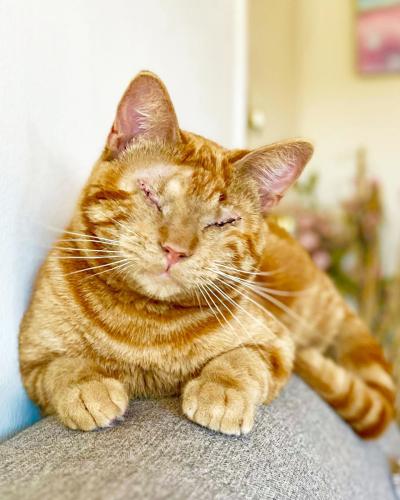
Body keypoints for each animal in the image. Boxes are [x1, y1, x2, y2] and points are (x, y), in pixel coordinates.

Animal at [18, 69, 394, 438]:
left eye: (222, 222)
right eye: (151, 194)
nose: (175, 250)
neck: (145, 327)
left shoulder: (276, 344)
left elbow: (241, 360)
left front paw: (222, 392)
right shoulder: (31, 357)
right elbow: (61, 366)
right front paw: (86, 387)